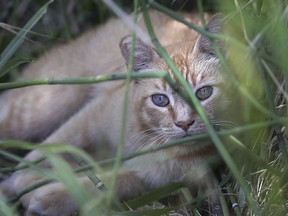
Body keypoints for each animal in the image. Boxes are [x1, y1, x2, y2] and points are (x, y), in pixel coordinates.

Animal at [0, 8, 235, 216]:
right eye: (160, 100)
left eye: (204, 93)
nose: (184, 123)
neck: (147, 133)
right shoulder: (92, 116)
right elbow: (50, 147)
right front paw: (26, 174)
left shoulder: (149, 178)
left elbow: (106, 184)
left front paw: (50, 193)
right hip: (43, 105)